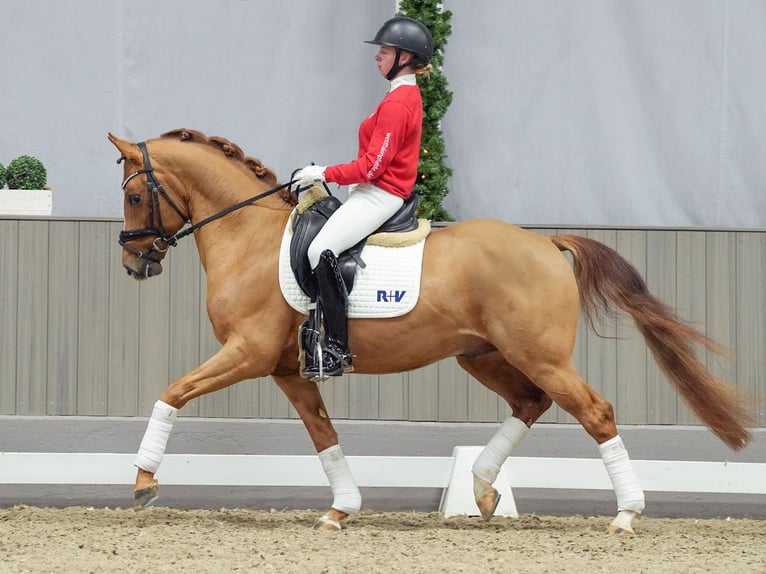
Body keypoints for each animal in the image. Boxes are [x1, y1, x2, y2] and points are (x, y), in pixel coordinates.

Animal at [108, 129, 756, 536]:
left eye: (136, 195)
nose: (134, 265)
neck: (248, 237)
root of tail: (547, 243)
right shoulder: (288, 369)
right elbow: (323, 436)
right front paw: (341, 510)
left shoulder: (246, 352)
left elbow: (172, 392)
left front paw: (143, 481)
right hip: (484, 354)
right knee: (530, 402)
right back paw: (484, 489)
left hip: (538, 354)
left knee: (594, 411)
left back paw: (625, 514)